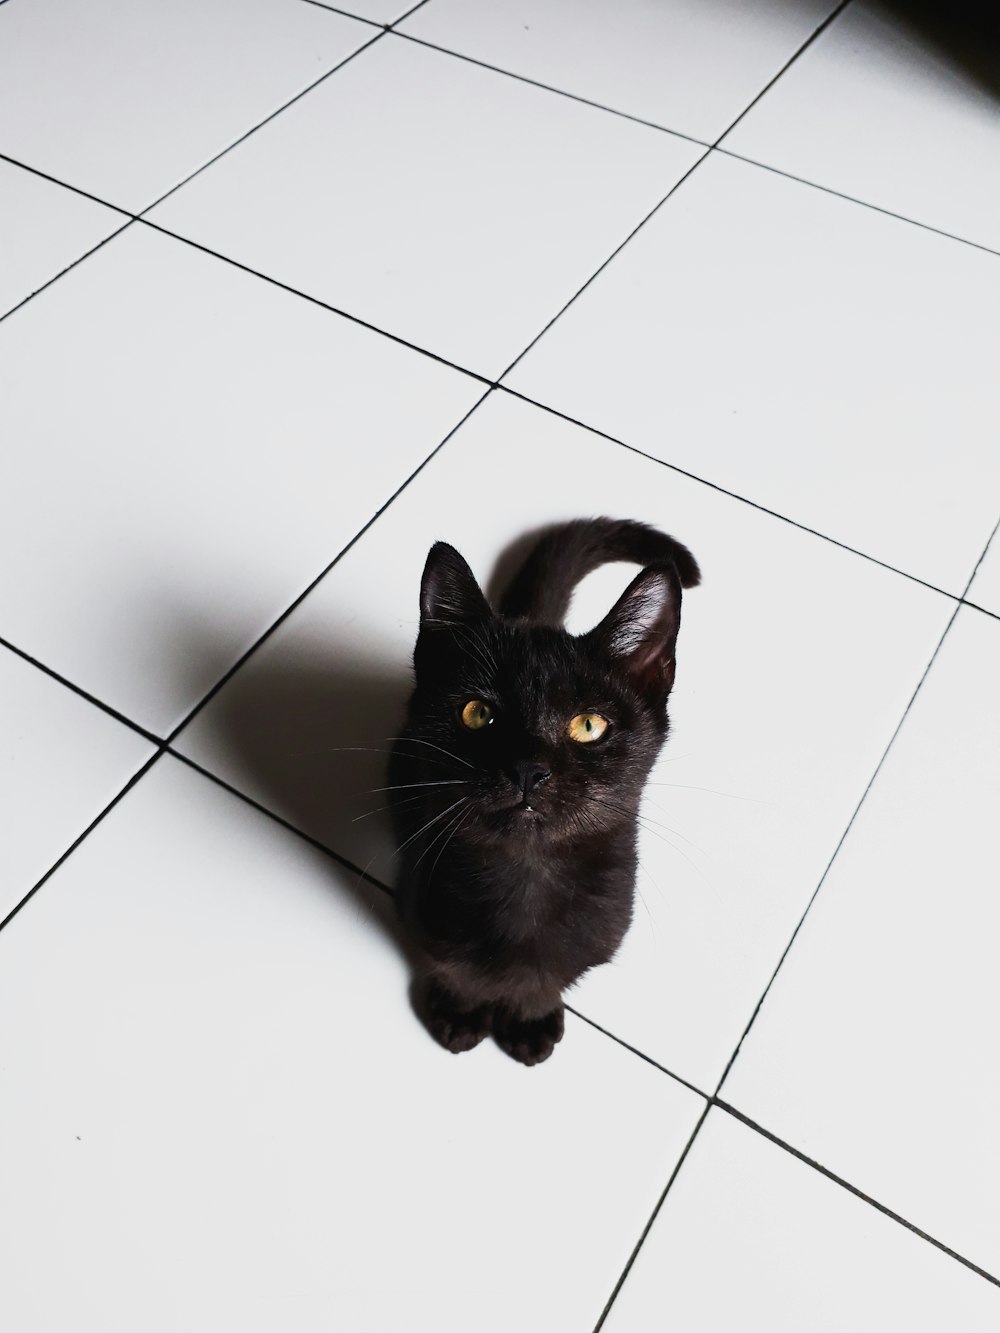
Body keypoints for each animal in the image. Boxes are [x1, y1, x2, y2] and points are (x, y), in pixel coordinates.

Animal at [386, 514, 698, 1066]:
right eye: (476, 713)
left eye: (589, 725)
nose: (527, 769)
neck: (527, 877)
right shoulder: (421, 903)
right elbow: (454, 967)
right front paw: (461, 1011)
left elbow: (546, 979)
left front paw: (529, 1019)